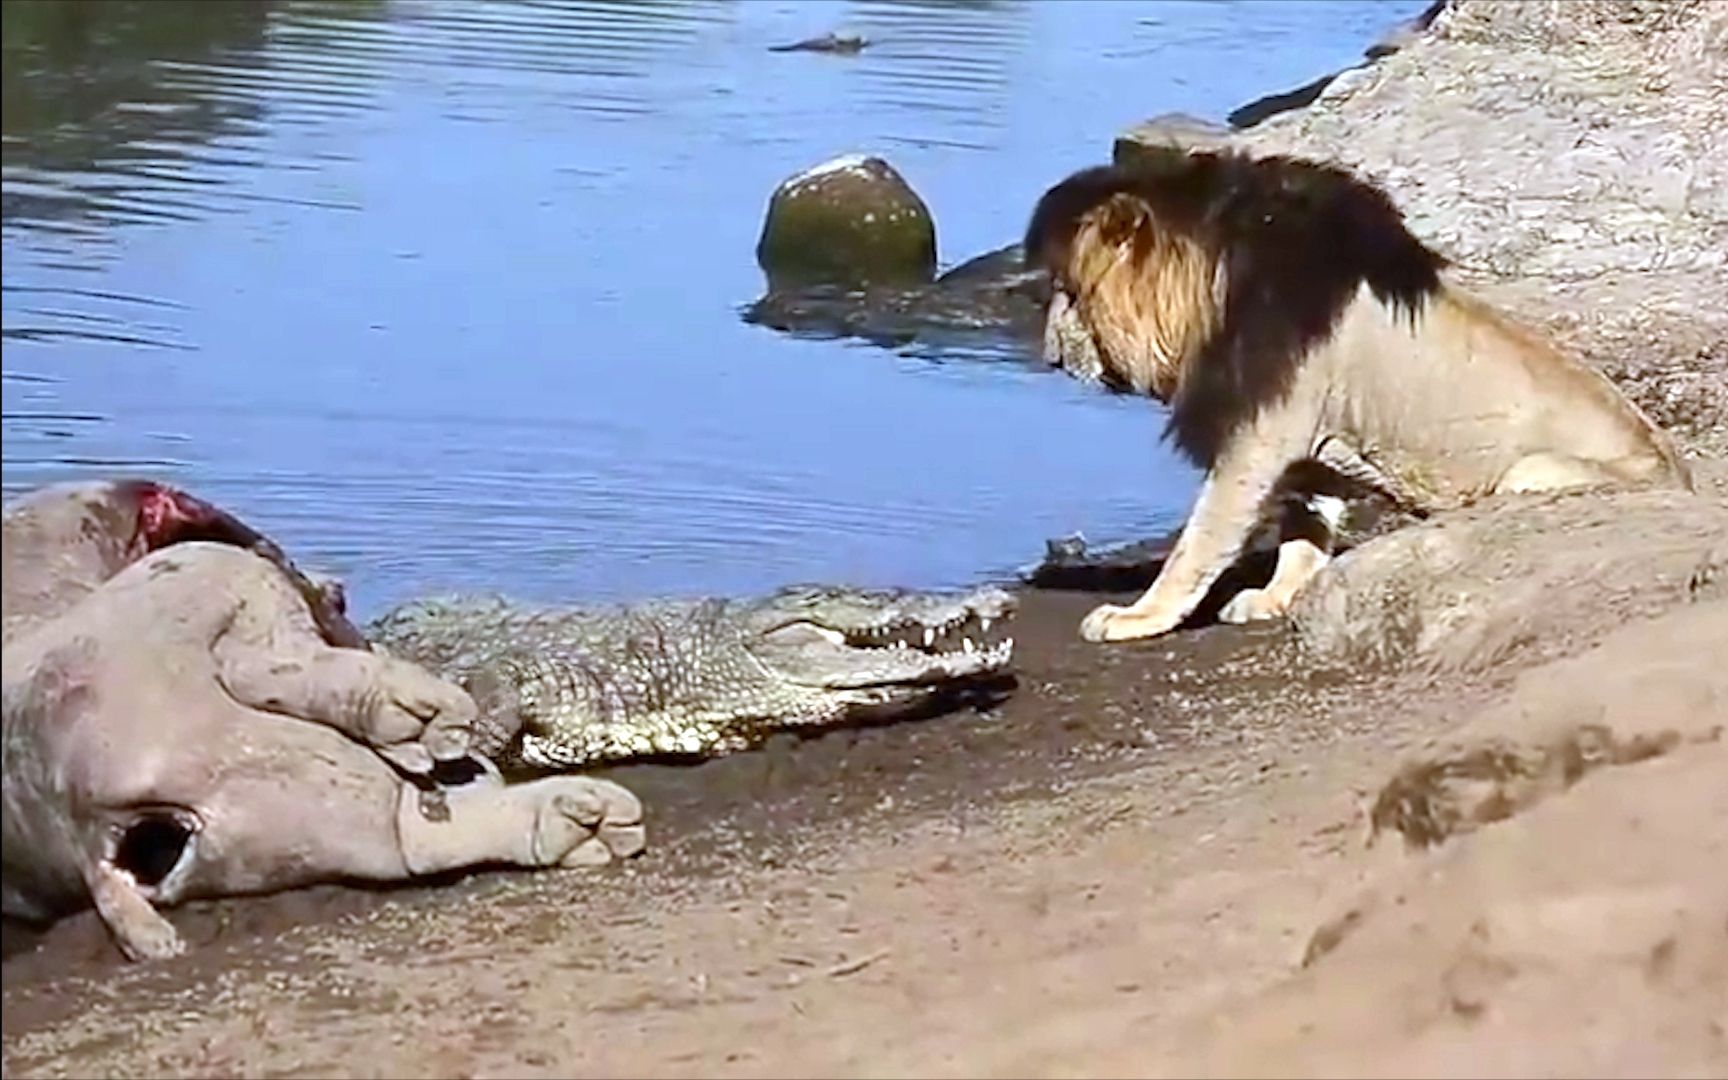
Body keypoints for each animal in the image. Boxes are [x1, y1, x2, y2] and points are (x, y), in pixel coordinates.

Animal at [1022, 150, 1686, 639]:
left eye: (1067, 293)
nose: (1048, 355)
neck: (1214, 286)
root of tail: (1686, 478)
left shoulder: (1262, 429)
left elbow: (1201, 540)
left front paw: (1137, 616)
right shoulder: (1307, 436)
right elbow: (1305, 524)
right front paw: (1275, 597)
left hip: (1530, 474)